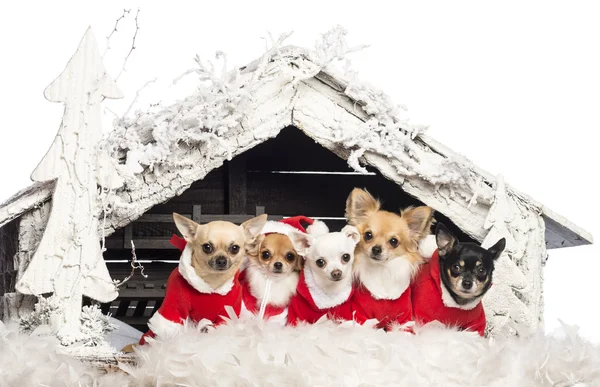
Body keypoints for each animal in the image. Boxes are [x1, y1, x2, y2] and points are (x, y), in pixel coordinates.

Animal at [138, 215, 268, 346]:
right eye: (207, 247)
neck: (212, 283)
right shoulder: (175, 306)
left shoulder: (229, 311)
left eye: (235, 248)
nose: (221, 260)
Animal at [344, 188, 434, 330]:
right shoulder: (361, 314)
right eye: (368, 235)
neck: (382, 270)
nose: (376, 249)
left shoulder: (404, 317)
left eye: (393, 241)